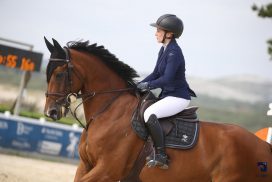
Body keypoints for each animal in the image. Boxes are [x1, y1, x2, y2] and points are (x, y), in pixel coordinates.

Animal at [43, 37, 270, 181]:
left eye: (59, 74)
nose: (50, 112)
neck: (109, 112)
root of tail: (263, 145)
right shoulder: (86, 166)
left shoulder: (107, 170)